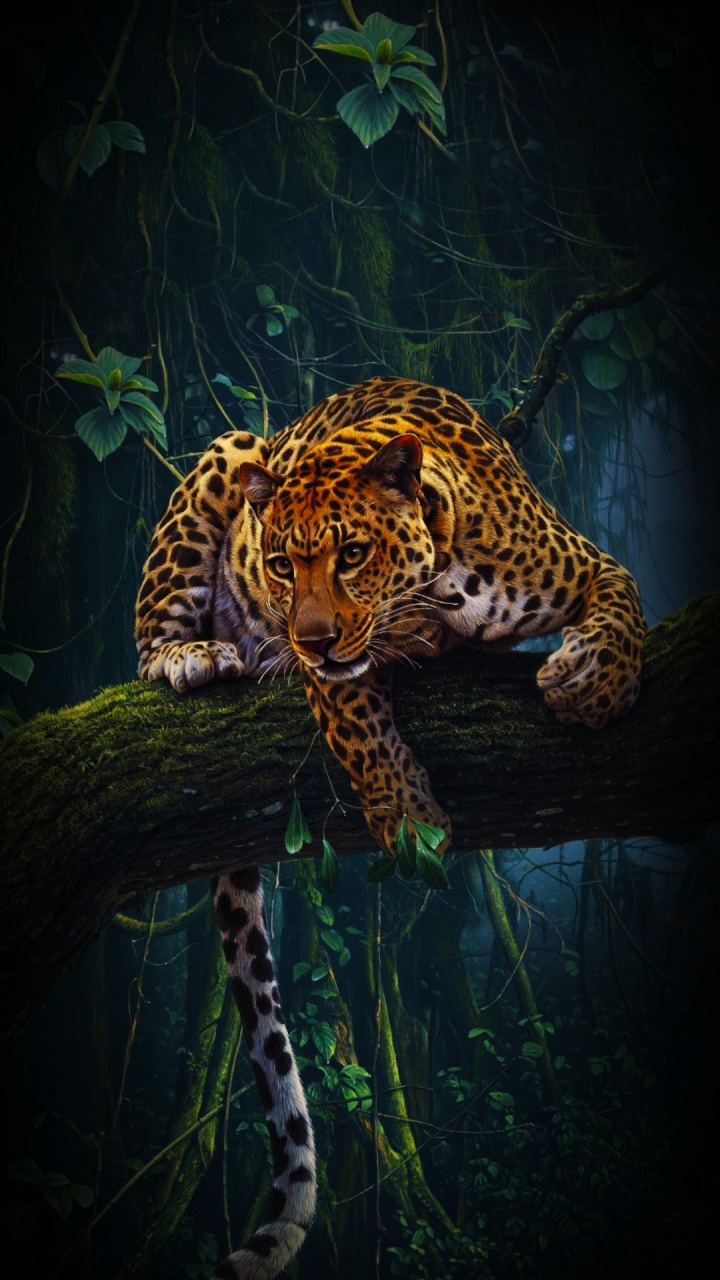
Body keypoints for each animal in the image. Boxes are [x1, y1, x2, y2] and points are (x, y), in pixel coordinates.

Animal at [134, 376, 645, 1278]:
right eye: (278, 563)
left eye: (350, 554)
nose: (307, 637)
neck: (444, 581)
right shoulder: (335, 673)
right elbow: (361, 729)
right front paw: (410, 822)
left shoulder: (583, 560)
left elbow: (625, 598)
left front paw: (594, 683)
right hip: (228, 452)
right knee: (143, 644)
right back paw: (194, 656)